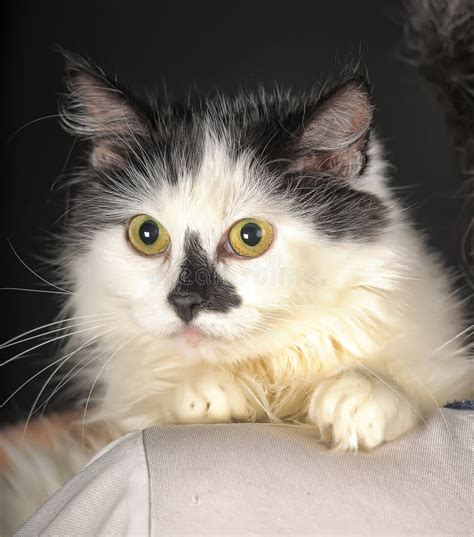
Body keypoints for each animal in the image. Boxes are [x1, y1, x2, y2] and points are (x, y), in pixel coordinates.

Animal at [1, 5, 472, 532]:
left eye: (250, 237)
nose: (186, 302)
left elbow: (412, 385)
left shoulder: (448, 367)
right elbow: (162, 400)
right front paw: (209, 395)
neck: (272, 379)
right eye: (148, 235)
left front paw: (359, 397)